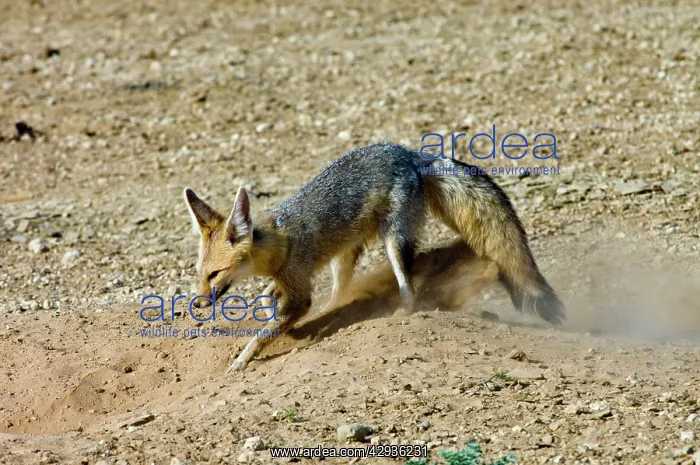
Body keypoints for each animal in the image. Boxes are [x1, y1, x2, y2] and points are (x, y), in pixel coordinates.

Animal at [183, 141, 565, 373]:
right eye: (199, 273)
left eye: (215, 274)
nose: (197, 304)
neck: (279, 240)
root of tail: (413, 156)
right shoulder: (289, 281)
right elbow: (267, 299)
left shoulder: (300, 293)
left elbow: (264, 334)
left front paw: (241, 361)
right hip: (346, 253)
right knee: (341, 291)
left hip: (393, 243)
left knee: (409, 290)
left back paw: (398, 314)